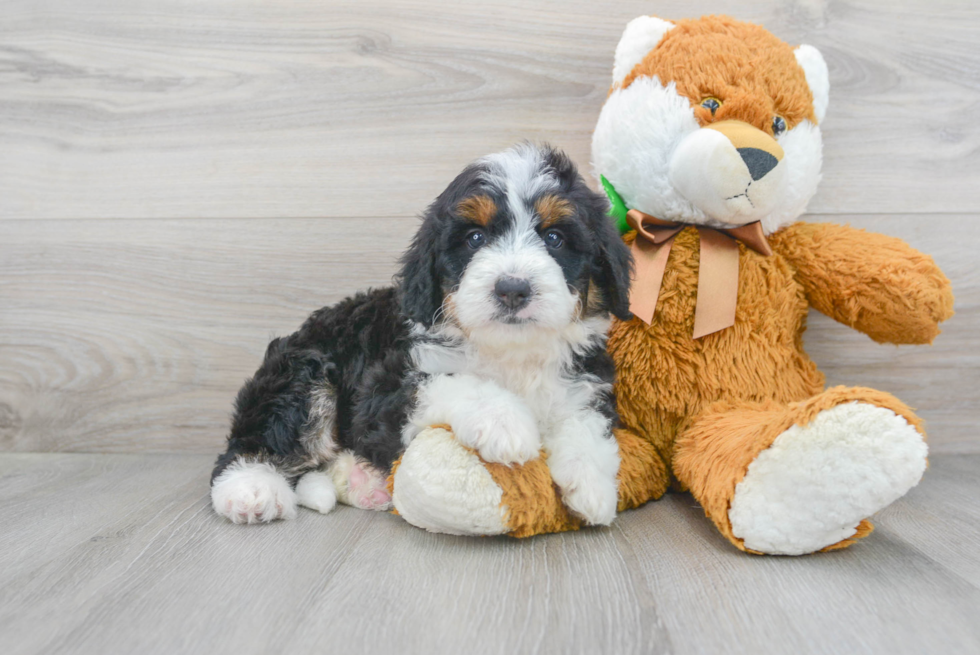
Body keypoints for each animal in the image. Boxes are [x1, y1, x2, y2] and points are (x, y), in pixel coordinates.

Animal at [211, 144, 632, 528]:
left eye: (555, 238)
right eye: (475, 238)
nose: (512, 288)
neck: (511, 351)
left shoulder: (585, 381)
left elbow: (585, 422)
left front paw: (592, 485)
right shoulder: (384, 390)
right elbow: (454, 381)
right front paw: (505, 422)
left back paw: (361, 481)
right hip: (304, 373)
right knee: (256, 441)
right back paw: (250, 491)